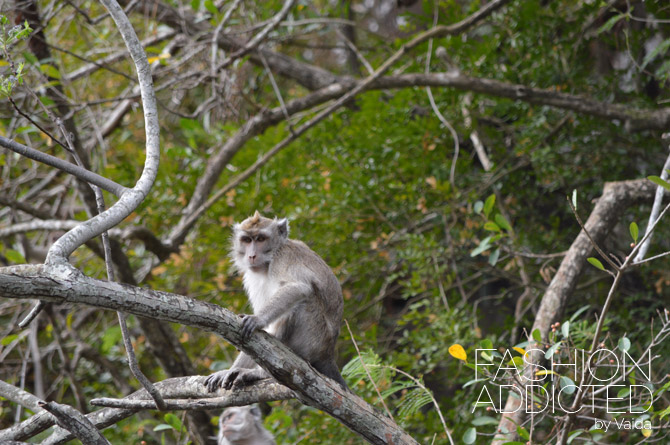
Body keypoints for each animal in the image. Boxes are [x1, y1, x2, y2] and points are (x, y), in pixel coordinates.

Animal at [206, 212, 350, 388]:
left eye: (261, 239)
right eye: (247, 240)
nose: (251, 255)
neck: (269, 261)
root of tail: (328, 353)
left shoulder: (282, 258)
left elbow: (299, 287)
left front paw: (258, 319)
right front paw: (227, 371)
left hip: (313, 341)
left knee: (304, 300)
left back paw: (263, 372)